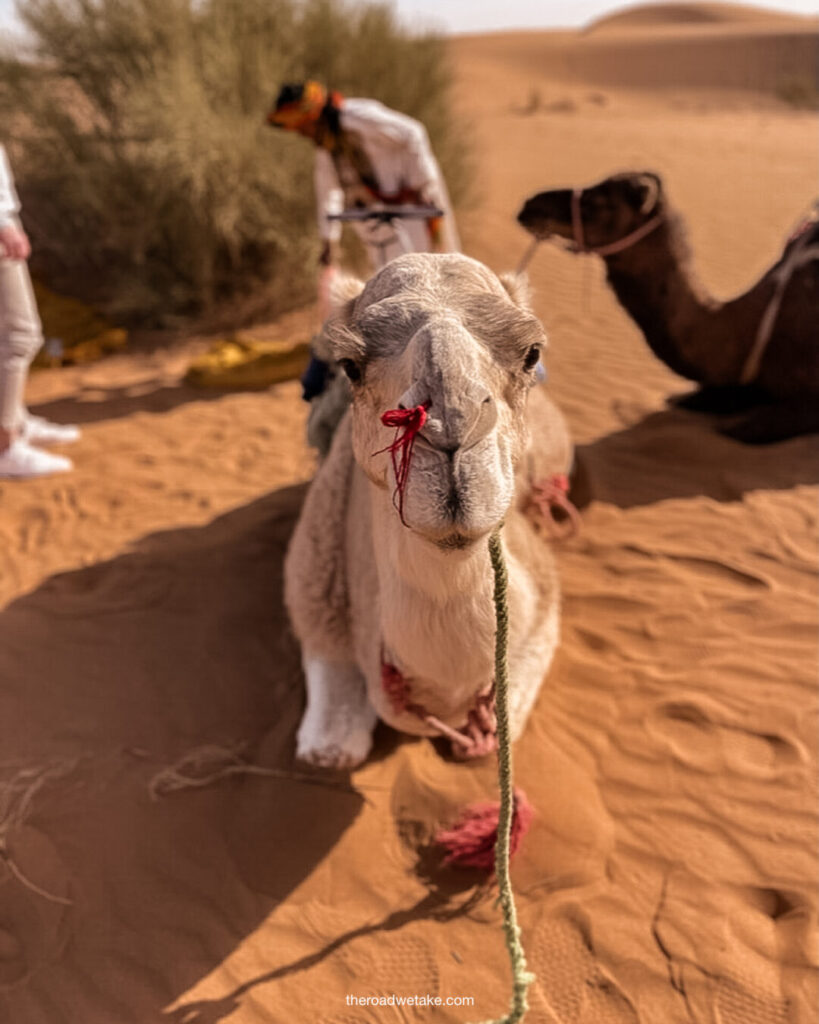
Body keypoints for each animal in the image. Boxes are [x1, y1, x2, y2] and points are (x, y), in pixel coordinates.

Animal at [284, 253, 573, 770]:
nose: (449, 425)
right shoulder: (314, 591)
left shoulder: (542, 591)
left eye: (531, 353)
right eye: (350, 365)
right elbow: (332, 748)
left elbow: (503, 723)